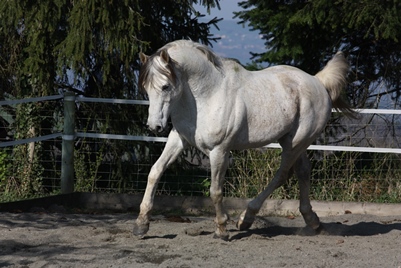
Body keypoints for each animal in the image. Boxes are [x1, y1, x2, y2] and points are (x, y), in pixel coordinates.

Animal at [134, 38, 354, 240]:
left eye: (165, 86)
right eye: (145, 87)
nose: (155, 126)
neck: (208, 95)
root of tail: (318, 82)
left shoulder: (219, 151)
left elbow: (215, 190)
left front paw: (222, 229)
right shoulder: (179, 139)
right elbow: (155, 172)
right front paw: (142, 224)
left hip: (296, 143)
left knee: (282, 175)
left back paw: (246, 219)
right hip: (291, 141)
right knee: (303, 171)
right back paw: (312, 221)